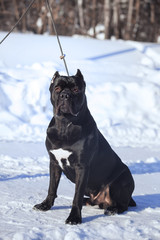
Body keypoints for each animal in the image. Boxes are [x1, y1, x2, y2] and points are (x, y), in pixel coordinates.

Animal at [33, 69, 136, 225]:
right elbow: (52, 188)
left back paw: (112, 209)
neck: (65, 124)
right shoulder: (54, 163)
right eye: (57, 88)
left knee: (122, 205)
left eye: (76, 89)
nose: (65, 95)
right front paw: (45, 205)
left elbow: (77, 195)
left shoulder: (82, 167)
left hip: (120, 181)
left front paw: (74, 218)